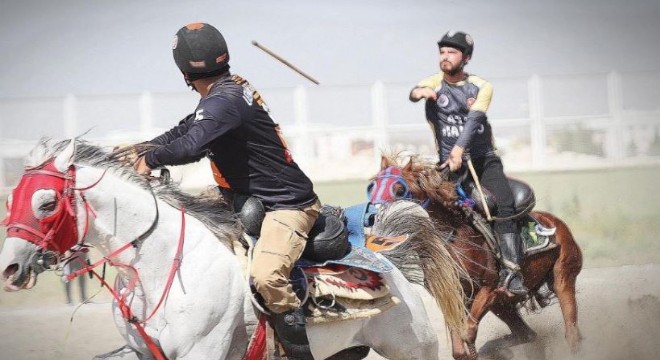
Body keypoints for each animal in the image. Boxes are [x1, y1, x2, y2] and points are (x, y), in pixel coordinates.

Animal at [1, 139, 464, 358]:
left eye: (46, 202)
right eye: (12, 199)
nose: (10, 269)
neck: (169, 265)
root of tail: (390, 263)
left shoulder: (201, 352)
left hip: (412, 349)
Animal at [372, 156, 584, 360]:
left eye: (400, 189)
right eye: (373, 185)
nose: (375, 216)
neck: (455, 239)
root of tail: (556, 223)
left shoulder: (489, 290)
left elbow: (468, 333)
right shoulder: (454, 298)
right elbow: (459, 348)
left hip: (562, 278)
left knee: (571, 332)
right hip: (503, 305)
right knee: (527, 334)